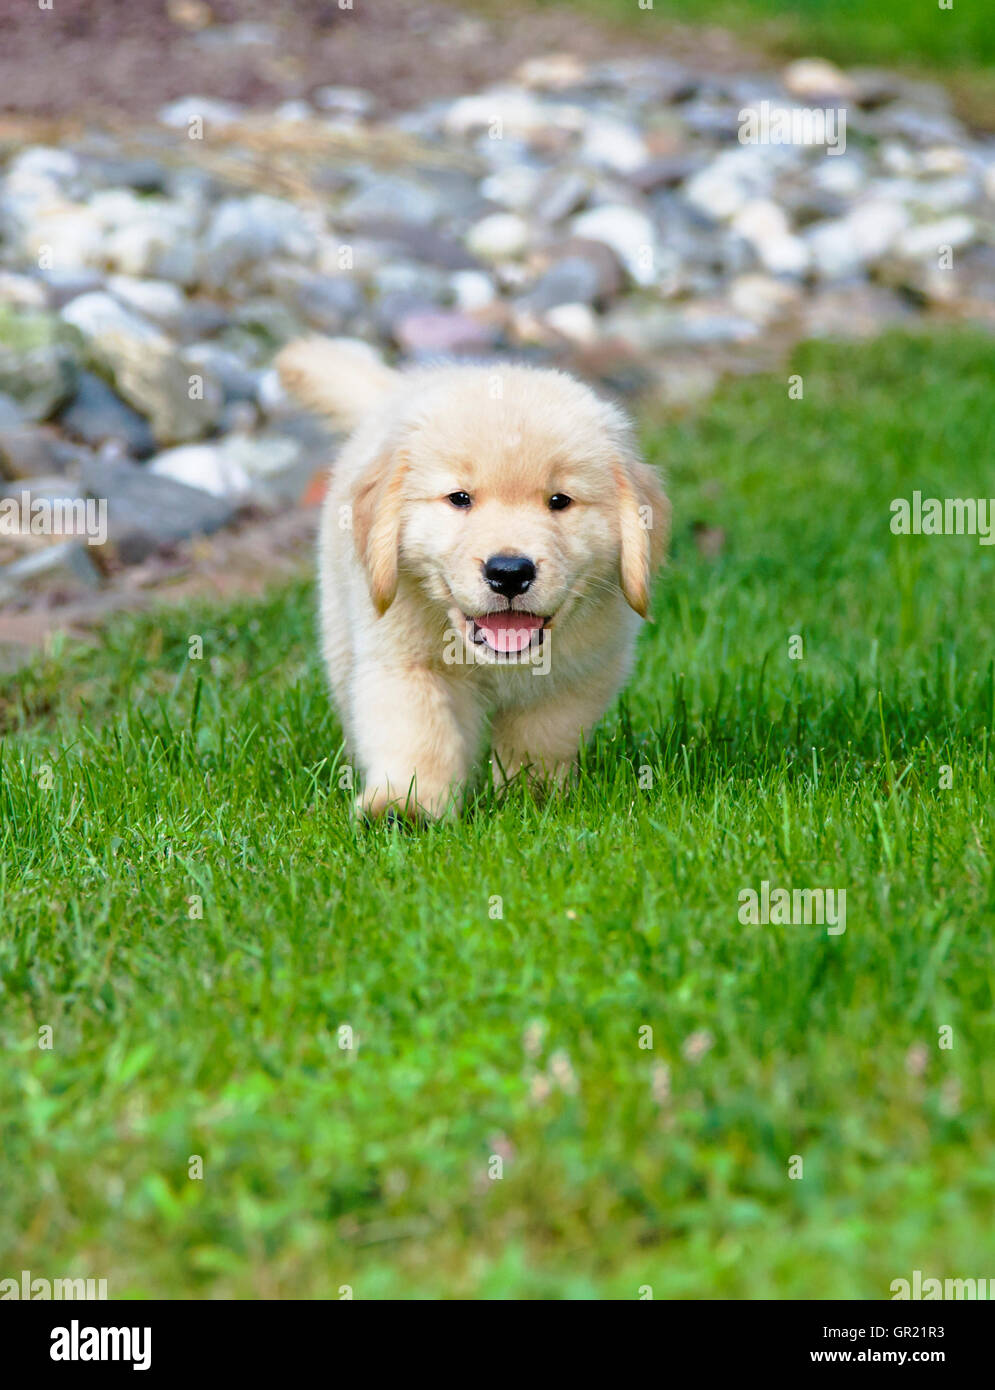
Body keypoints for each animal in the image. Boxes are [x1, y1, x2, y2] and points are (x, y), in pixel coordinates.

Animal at [276, 334, 672, 811]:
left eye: (559, 501)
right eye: (459, 498)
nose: (509, 572)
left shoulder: (580, 675)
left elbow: (540, 737)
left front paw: (531, 799)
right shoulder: (403, 659)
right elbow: (417, 731)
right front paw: (404, 805)